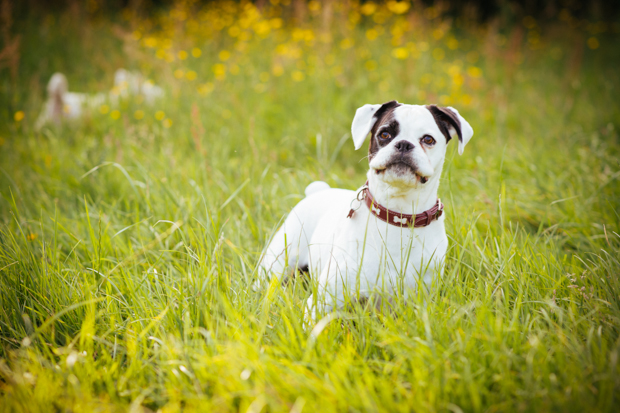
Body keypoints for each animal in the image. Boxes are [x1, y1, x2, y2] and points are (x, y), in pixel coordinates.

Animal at [258, 100, 474, 322]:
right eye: (384, 134)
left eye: (428, 139)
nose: (404, 144)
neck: (399, 217)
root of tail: (318, 191)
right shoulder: (322, 302)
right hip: (276, 264)